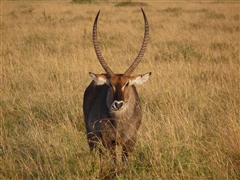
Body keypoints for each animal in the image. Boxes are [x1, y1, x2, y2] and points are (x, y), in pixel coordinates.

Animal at [83, 8, 151, 174]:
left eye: (127, 84)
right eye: (110, 84)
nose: (118, 104)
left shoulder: (130, 141)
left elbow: (124, 162)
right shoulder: (109, 141)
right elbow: (114, 162)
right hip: (91, 137)